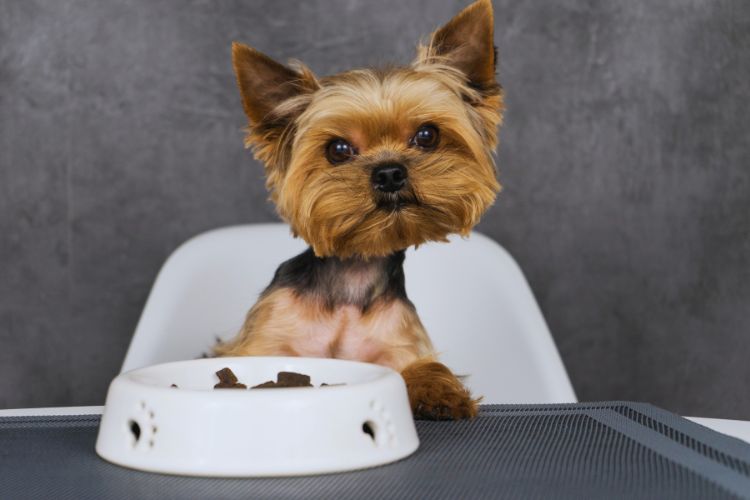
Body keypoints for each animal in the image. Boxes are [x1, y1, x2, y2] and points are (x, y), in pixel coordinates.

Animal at [217, 0, 506, 420]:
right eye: (338, 149)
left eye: (427, 135)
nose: (389, 173)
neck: (352, 279)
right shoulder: (265, 340)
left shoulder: (398, 345)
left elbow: (422, 367)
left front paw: (439, 392)